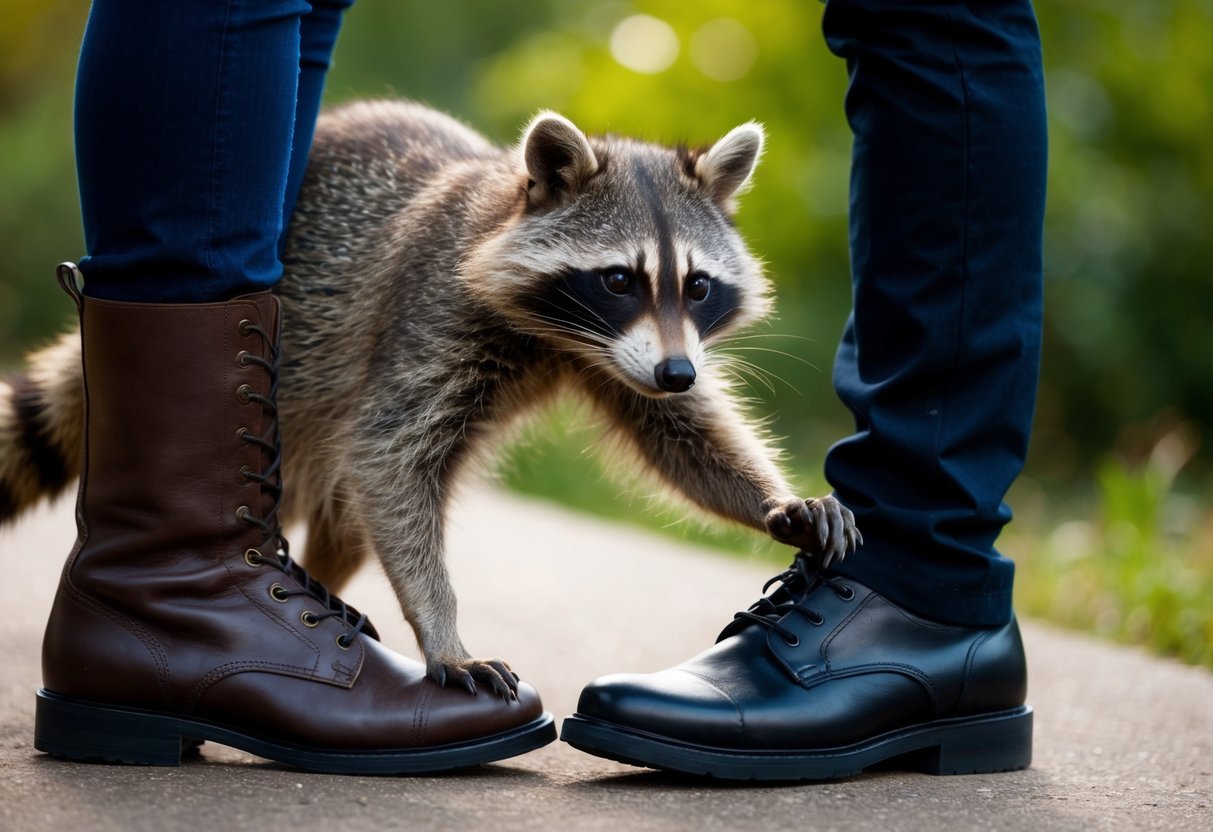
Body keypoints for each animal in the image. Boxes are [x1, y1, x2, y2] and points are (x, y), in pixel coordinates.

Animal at [2, 100, 859, 697]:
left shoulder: (634, 355)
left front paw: (772, 499)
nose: (680, 371)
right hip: (297, 378)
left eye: (698, 285)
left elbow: (681, 435)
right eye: (619, 278)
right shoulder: (428, 314)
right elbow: (390, 453)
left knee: (350, 517)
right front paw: (442, 627)